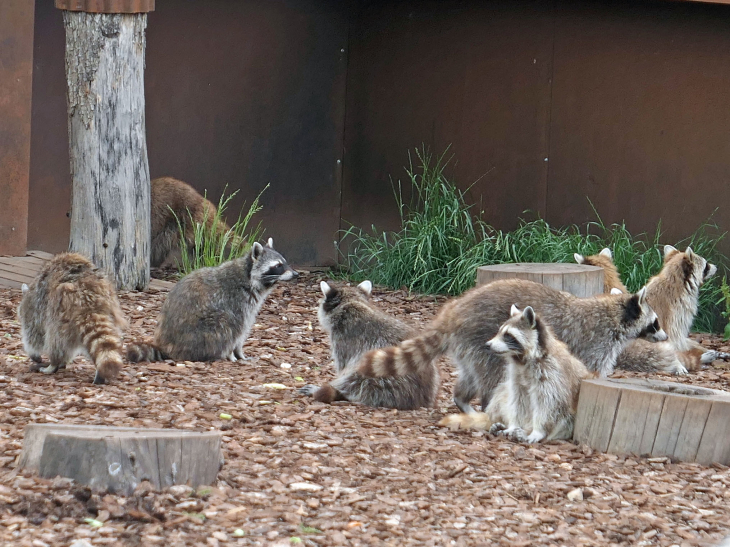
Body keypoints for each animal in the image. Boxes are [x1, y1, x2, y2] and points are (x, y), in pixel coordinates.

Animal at [17, 254, 128, 386]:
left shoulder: (35, 306)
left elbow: (33, 333)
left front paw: (33, 352)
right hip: (108, 310)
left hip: (57, 312)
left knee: (55, 339)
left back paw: (53, 364)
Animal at [126, 239, 298, 364]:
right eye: (278, 266)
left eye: (284, 262)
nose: (296, 274)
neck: (248, 275)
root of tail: (168, 346)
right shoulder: (237, 302)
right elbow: (238, 331)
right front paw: (234, 354)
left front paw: (239, 353)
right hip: (202, 331)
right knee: (225, 325)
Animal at [356, 278, 664, 416]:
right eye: (656, 322)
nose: (664, 336)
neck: (612, 313)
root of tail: (453, 311)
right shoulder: (594, 343)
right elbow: (585, 375)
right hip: (485, 340)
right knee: (494, 375)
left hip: (469, 347)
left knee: (471, 376)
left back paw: (462, 400)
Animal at [440, 306, 588, 444]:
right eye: (499, 331)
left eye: (507, 335)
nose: (488, 345)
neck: (521, 359)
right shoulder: (517, 374)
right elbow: (517, 399)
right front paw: (513, 425)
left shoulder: (551, 375)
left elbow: (548, 404)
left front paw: (537, 431)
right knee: (502, 393)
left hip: (569, 417)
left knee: (564, 420)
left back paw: (528, 430)